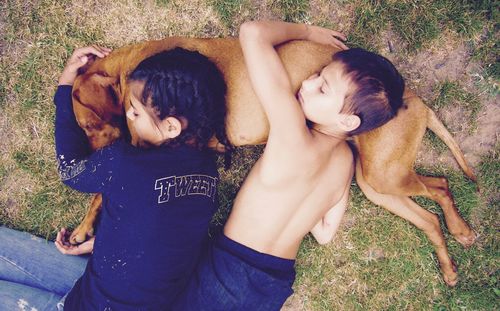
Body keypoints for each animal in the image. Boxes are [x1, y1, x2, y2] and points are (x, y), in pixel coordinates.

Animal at [69, 37, 476, 286]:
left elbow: (103, 190)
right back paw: (451, 257)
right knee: (431, 208)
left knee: (440, 186)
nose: (88, 156)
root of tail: (414, 99)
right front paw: (85, 226)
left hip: (383, 175)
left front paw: (84, 225)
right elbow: (102, 192)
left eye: (88, 125)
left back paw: (459, 232)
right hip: (375, 183)